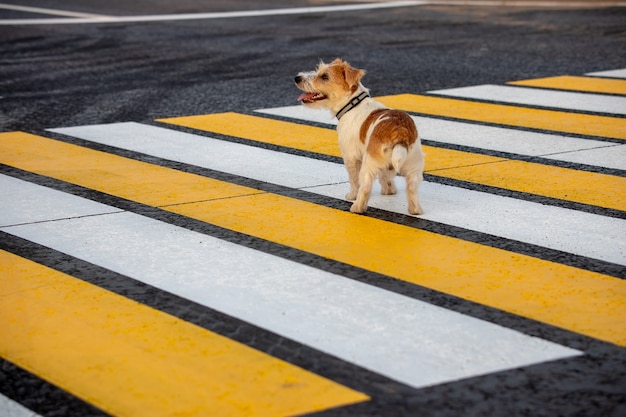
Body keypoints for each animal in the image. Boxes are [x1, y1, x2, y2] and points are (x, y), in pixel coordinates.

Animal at [294, 57, 424, 214]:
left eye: (324, 76)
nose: (297, 78)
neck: (352, 103)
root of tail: (400, 132)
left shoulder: (350, 157)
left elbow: (354, 179)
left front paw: (352, 195)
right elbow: (385, 176)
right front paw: (389, 191)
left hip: (368, 165)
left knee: (365, 187)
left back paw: (357, 207)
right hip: (414, 167)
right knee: (412, 189)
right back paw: (415, 210)